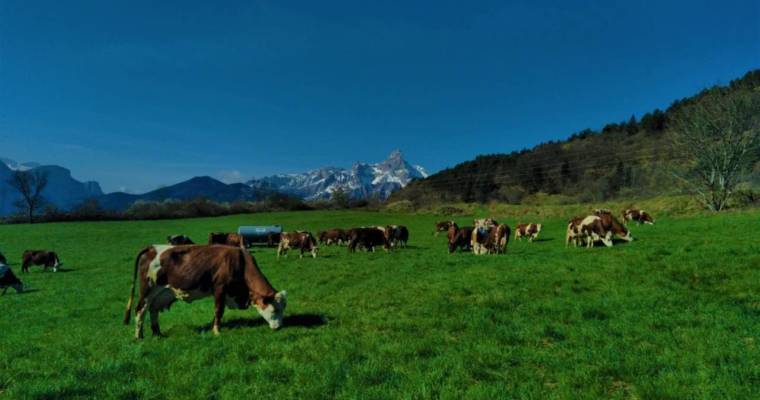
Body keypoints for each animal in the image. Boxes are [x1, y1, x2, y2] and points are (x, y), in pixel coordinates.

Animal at [123, 244, 286, 338]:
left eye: (282, 309)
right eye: (274, 310)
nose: (279, 327)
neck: (240, 262)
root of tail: (151, 248)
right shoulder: (220, 288)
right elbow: (219, 310)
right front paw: (217, 331)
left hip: (160, 294)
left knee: (153, 310)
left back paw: (157, 334)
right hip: (147, 290)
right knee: (140, 310)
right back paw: (139, 336)